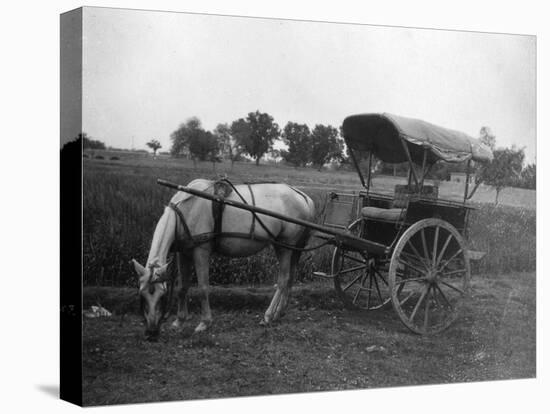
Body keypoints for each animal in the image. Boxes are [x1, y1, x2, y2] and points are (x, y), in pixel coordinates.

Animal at [131, 178, 316, 340]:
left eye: (162, 296)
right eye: (142, 295)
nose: (151, 334)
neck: (186, 210)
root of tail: (302, 195)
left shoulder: (201, 251)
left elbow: (203, 287)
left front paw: (205, 323)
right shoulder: (183, 252)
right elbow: (182, 287)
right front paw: (179, 320)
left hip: (285, 246)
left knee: (283, 280)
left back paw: (269, 316)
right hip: (290, 248)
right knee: (290, 278)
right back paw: (279, 313)